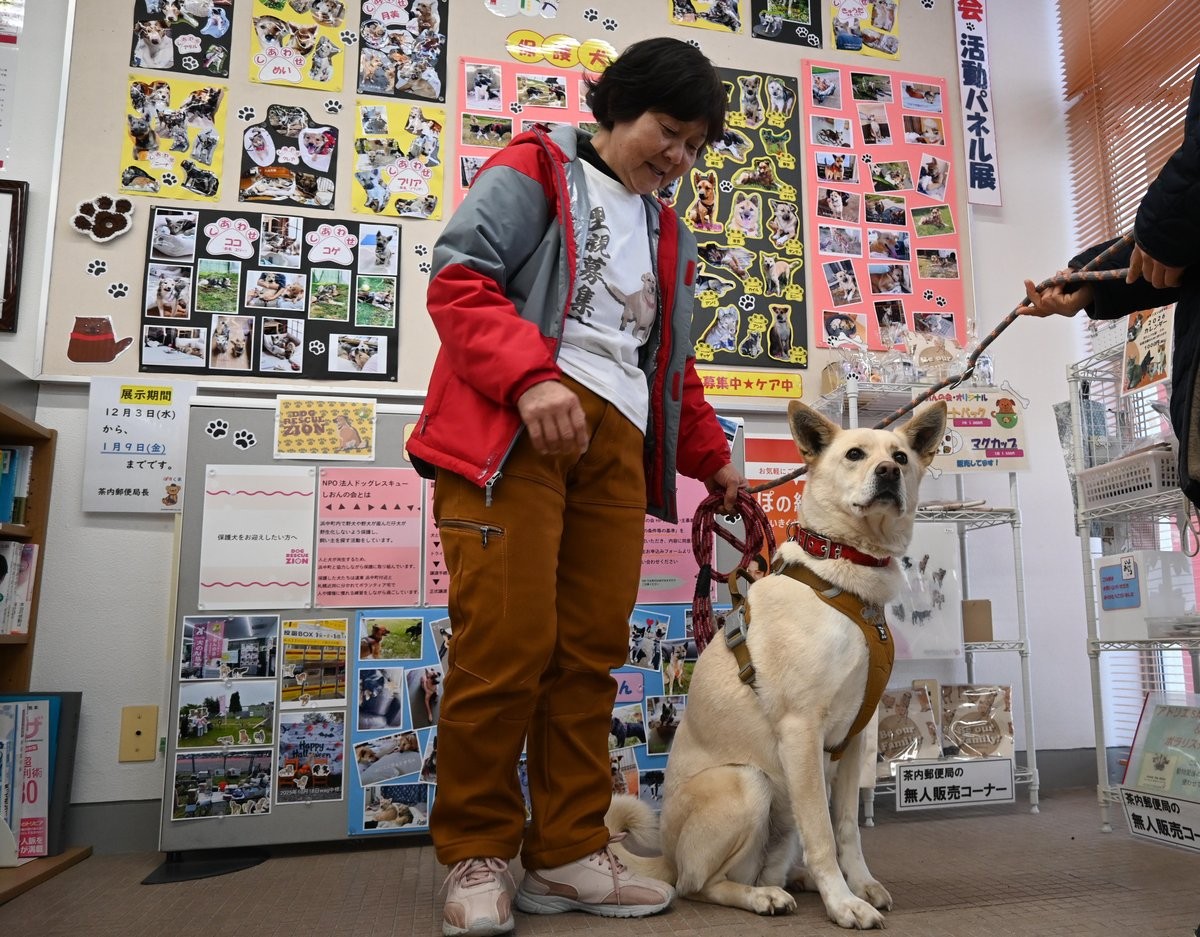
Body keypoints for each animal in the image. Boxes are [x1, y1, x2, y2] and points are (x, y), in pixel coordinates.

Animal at [606, 400, 947, 928]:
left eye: (901, 457)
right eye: (855, 454)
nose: (889, 472)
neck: (843, 576)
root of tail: (667, 854)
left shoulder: (854, 739)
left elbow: (847, 829)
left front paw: (861, 885)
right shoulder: (801, 730)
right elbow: (823, 833)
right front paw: (843, 903)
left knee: (771, 864)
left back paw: (793, 881)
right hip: (749, 784)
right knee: (699, 885)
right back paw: (761, 897)